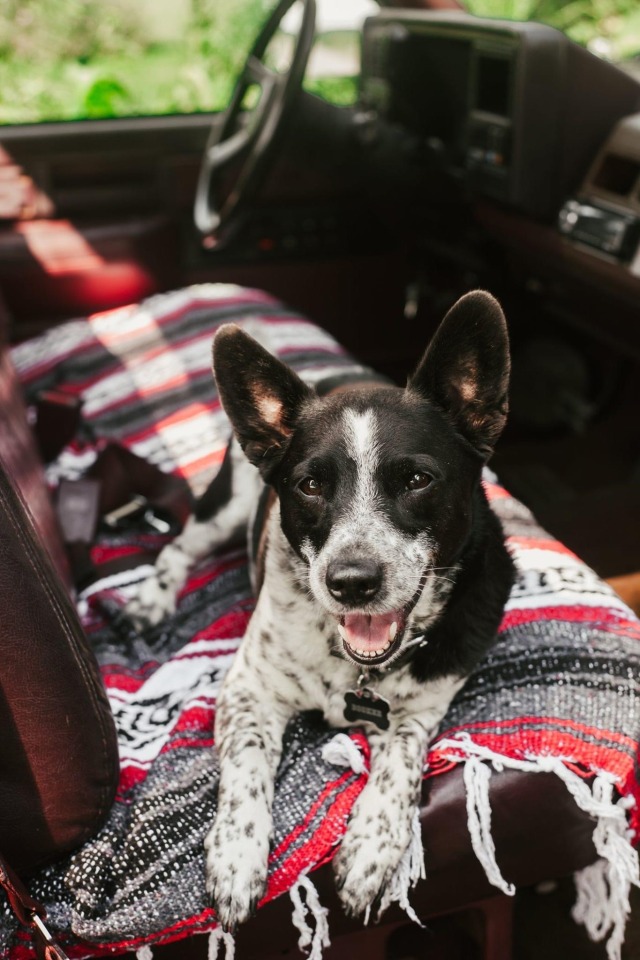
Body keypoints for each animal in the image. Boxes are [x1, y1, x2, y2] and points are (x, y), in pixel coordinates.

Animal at [126, 286, 516, 928]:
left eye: (416, 479)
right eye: (309, 485)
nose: (351, 583)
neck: (354, 668)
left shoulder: (421, 714)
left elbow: (400, 766)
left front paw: (371, 849)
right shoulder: (248, 692)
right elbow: (246, 771)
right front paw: (236, 857)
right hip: (225, 508)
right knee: (177, 550)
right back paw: (148, 602)